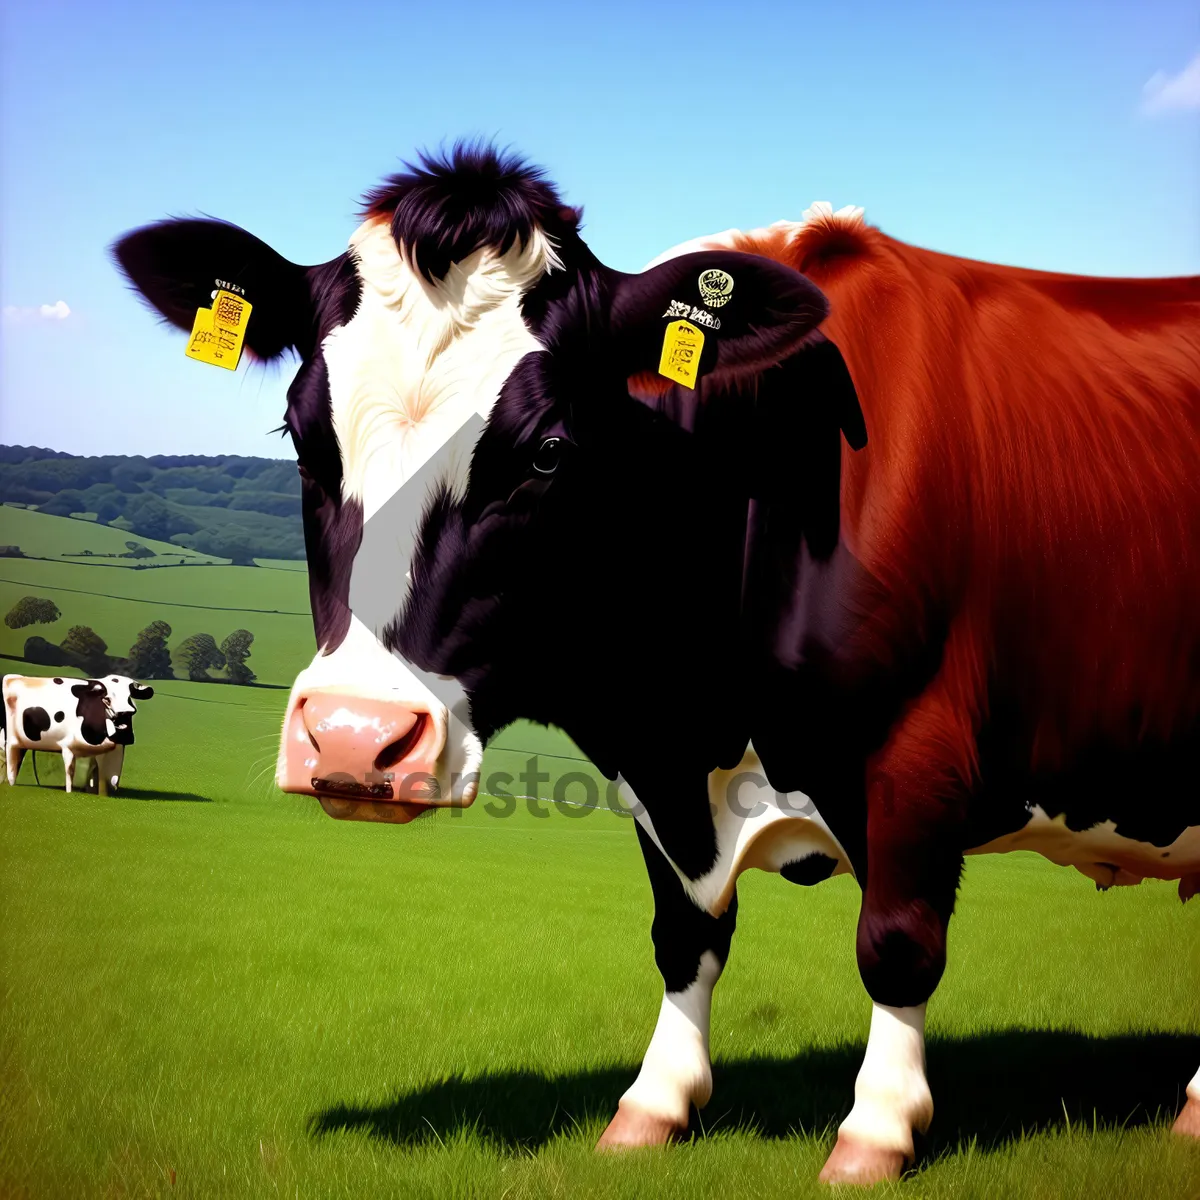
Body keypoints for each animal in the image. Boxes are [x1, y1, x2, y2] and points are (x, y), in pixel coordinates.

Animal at [1, 676, 154, 796]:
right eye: (107, 699)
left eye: (129, 698)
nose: (125, 714)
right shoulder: (68, 747)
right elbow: (70, 772)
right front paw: (69, 792)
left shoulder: (112, 751)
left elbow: (107, 778)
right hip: (11, 744)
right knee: (10, 769)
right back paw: (10, 784)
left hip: (22, 744)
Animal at [388, 204, 1195, 1180]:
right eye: (305, 431)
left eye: (548, 452)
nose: (353, 733)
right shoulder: (658, 782)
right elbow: (684, 941)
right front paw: (651, 1109)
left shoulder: (915, 760)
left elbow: (896, 943)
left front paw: (874, 1132)